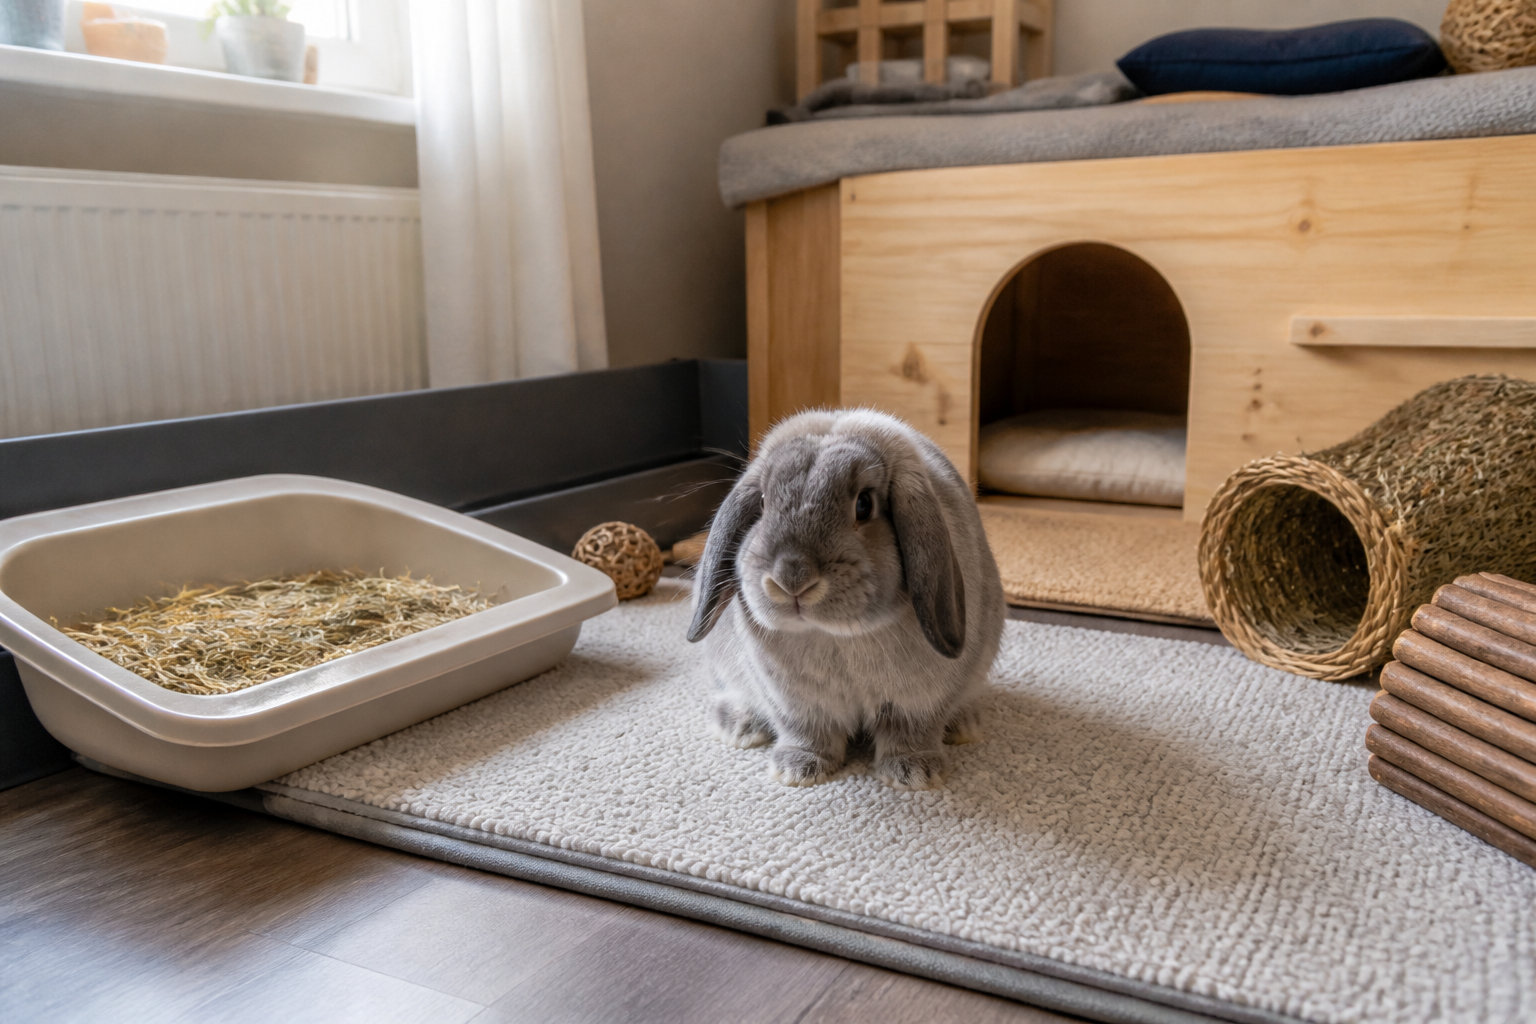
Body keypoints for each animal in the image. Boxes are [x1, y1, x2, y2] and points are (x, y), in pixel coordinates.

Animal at [686, 408, 1005, 790]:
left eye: (864, 505)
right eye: (762, 503)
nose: (791, 579)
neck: (838, 636)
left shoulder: (921, 701)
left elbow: (911, 732)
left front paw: (914, 773)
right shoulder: (795, 702)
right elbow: (808, 733)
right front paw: (797, 769)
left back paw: (964, 726)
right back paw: (737, 726)